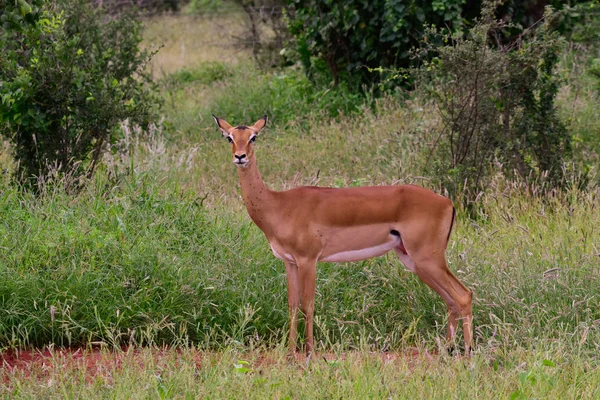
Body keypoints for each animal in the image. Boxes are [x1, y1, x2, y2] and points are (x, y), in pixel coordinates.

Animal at [212, 115, 474, 356]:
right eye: (230, 137)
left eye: (253, 137)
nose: (240, 157)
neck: (279, 205)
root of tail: (448, 203)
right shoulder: (290, 262)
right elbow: (292, 305)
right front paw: (291, 351)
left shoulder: (308, 260)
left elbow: (308, 304)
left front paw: (310, 352)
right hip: (413, 260)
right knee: (451, 300)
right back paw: (448, 349)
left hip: (427, 259)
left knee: (463, 295)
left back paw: (468, 351)